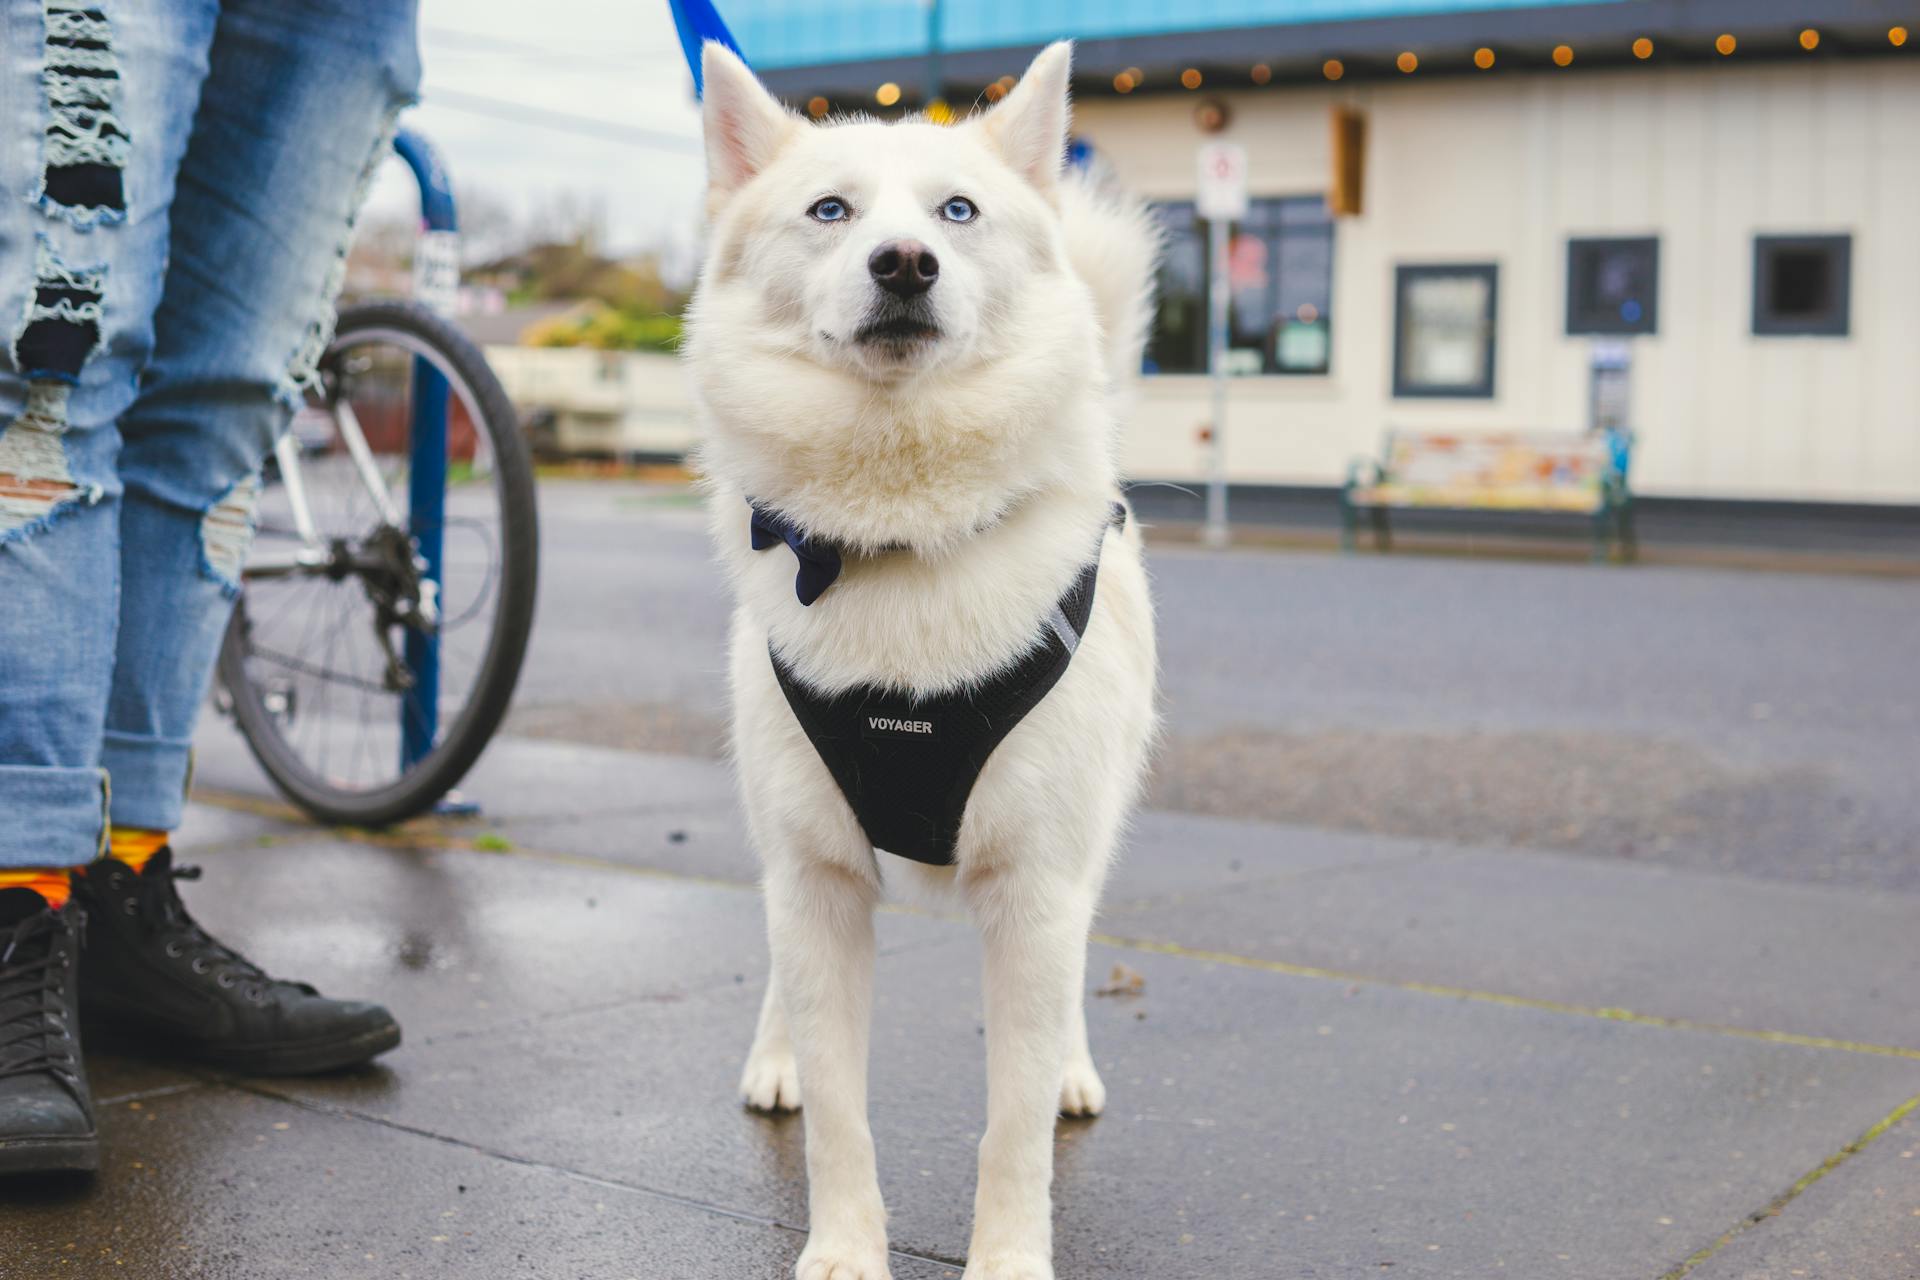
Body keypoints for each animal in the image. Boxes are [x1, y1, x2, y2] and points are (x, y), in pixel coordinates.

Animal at [687, 40, 1152, 1280]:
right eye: (830, 210)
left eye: (958, 211)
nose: (904, 262)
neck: (900, 536)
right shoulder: (818, 878)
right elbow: (843, 1115)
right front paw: (845, 1246)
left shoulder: (1036, 885)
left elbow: (1012, 1123)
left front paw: (1009, 1256)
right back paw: (778, 1057)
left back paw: (1075, 1067)